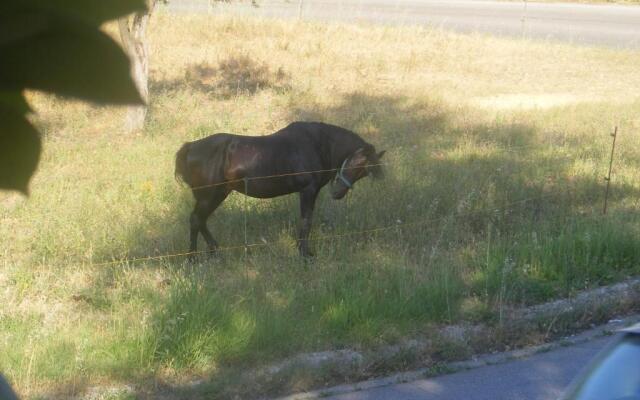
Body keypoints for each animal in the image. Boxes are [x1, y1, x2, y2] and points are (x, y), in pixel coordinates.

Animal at [174, 122, 384, 258]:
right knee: (196, 220)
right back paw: (192, 258)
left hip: (217, 194)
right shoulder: (308, 191)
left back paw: (214, 251)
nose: (338, 193)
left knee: (200, 221)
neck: (316, 143)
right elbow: (306, 221)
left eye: (363, 173)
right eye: (358, 165)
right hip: (210, 195)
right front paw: (304, 253)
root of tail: (191, 147)